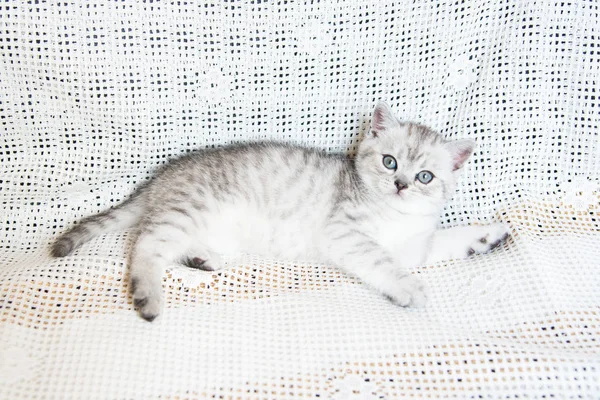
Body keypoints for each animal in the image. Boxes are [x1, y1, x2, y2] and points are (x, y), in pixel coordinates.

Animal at [52, 103, 510, 322]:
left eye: (426, 176)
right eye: (390, 162)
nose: (400, 185)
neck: (397, 218)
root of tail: (159, 179)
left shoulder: (416, 246)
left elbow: (445, 239)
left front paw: (487, 235)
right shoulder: (345, 234)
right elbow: (381, 260)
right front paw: (408, 288)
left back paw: (201, 258)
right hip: (186, 211)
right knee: (145, 246)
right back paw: (148, 295)